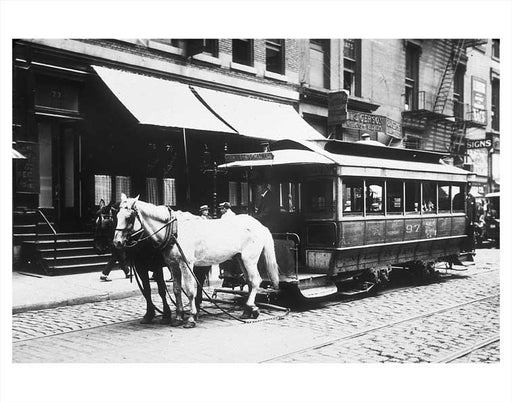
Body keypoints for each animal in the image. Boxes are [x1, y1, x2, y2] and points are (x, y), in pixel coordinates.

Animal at [113, 193, 280, 328]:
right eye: (117, 216)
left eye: (129, 217)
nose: (117, 242)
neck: (174, 230)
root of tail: (259, 225)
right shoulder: (173, 265)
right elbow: (176, 289)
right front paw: (178, 317)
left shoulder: (186, 264)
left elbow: (189, 290)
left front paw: (191, 318)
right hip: (240, 259)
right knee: (249, 281)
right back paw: (248, 310)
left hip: (249, 259)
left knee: (255, 280)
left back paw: (251, 307)